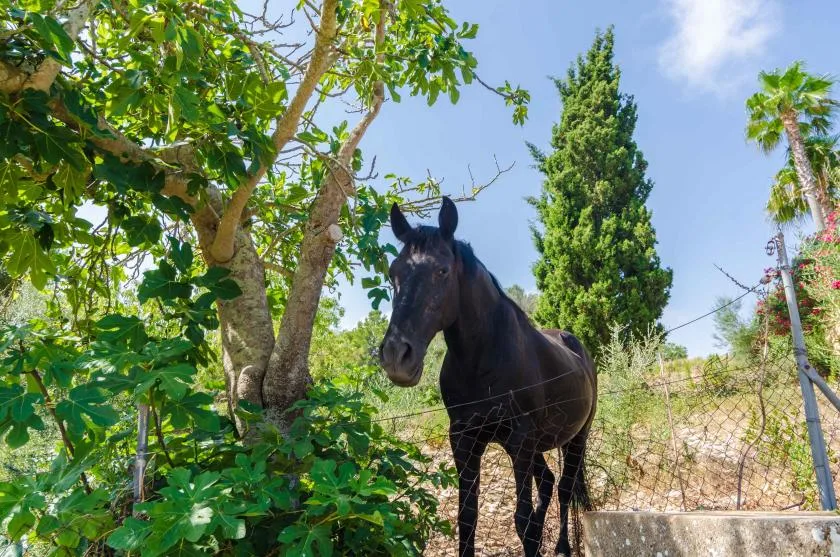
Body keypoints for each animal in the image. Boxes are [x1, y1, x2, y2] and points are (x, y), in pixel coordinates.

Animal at [378, 198, 597, 557]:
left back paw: (562, 547)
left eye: (442, 270)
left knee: (565, 490)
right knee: (548, 484)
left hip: (577, 437)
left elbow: (522, 520)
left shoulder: (519, 441)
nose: (397, 356)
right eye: (393, 272)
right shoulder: (464, 440)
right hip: (539, 447)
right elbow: (468, 518)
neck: (483, 362)